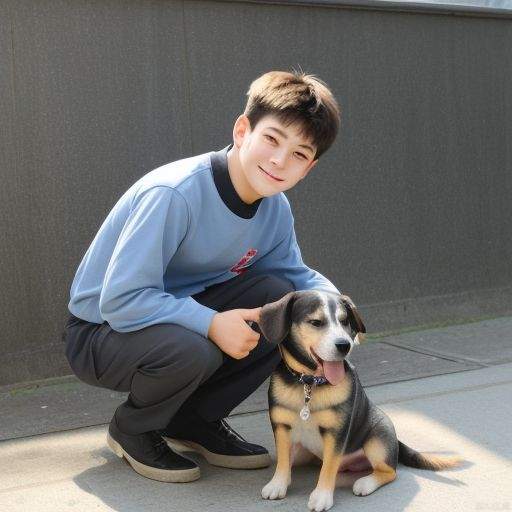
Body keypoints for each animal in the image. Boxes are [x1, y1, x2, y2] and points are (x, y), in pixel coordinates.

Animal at [258, 290, 462, 510]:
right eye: (316, 322)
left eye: (344, 321)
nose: (344, 345)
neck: (310, 383)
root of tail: (396, 441)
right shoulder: (281, 427)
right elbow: (283, 460)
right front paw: (278, 484)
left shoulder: (337, 433)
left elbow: (329, 467)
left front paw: (322, 496)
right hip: (305, 453)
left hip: (377, 441)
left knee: (389, 471)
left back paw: (365, 483)